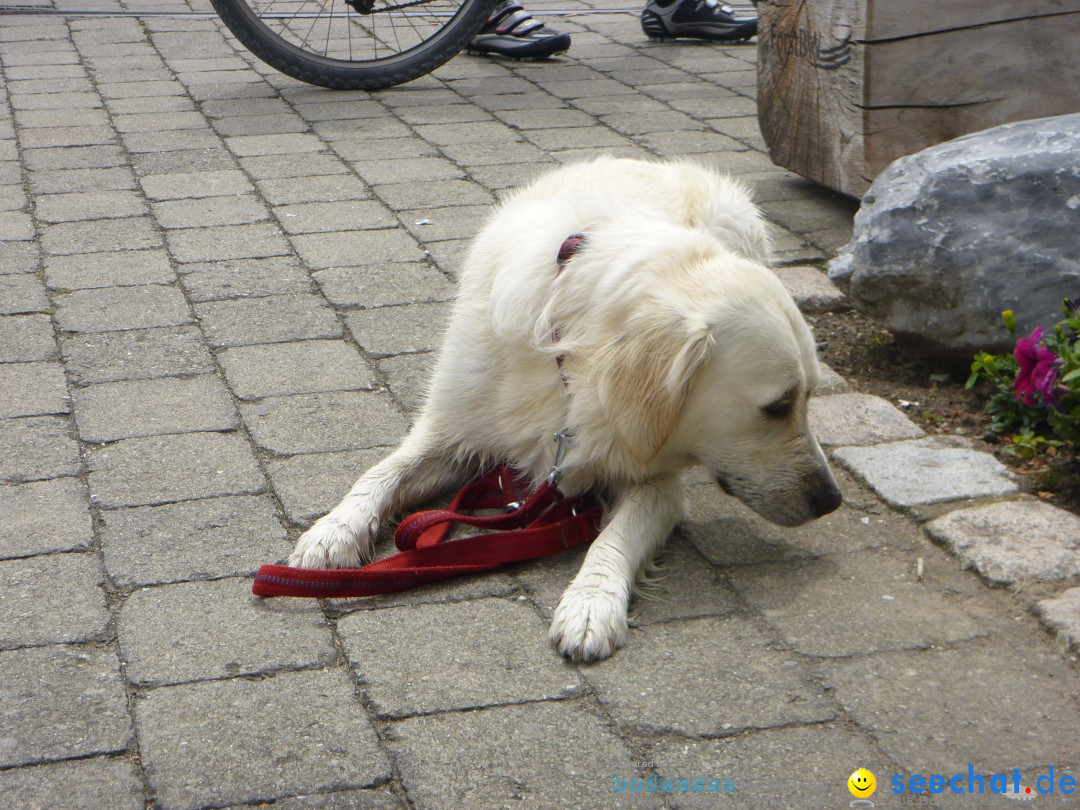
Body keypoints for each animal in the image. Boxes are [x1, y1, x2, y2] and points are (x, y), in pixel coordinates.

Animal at [289, 156, 842, 660]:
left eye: (808, 398)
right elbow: (380, 474)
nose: (831, 500)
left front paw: (591, 604)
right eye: (778, 406)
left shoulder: (656, 480)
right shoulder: (454, 428)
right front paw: (332, 532)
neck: (568, 356)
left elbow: (615, 536)